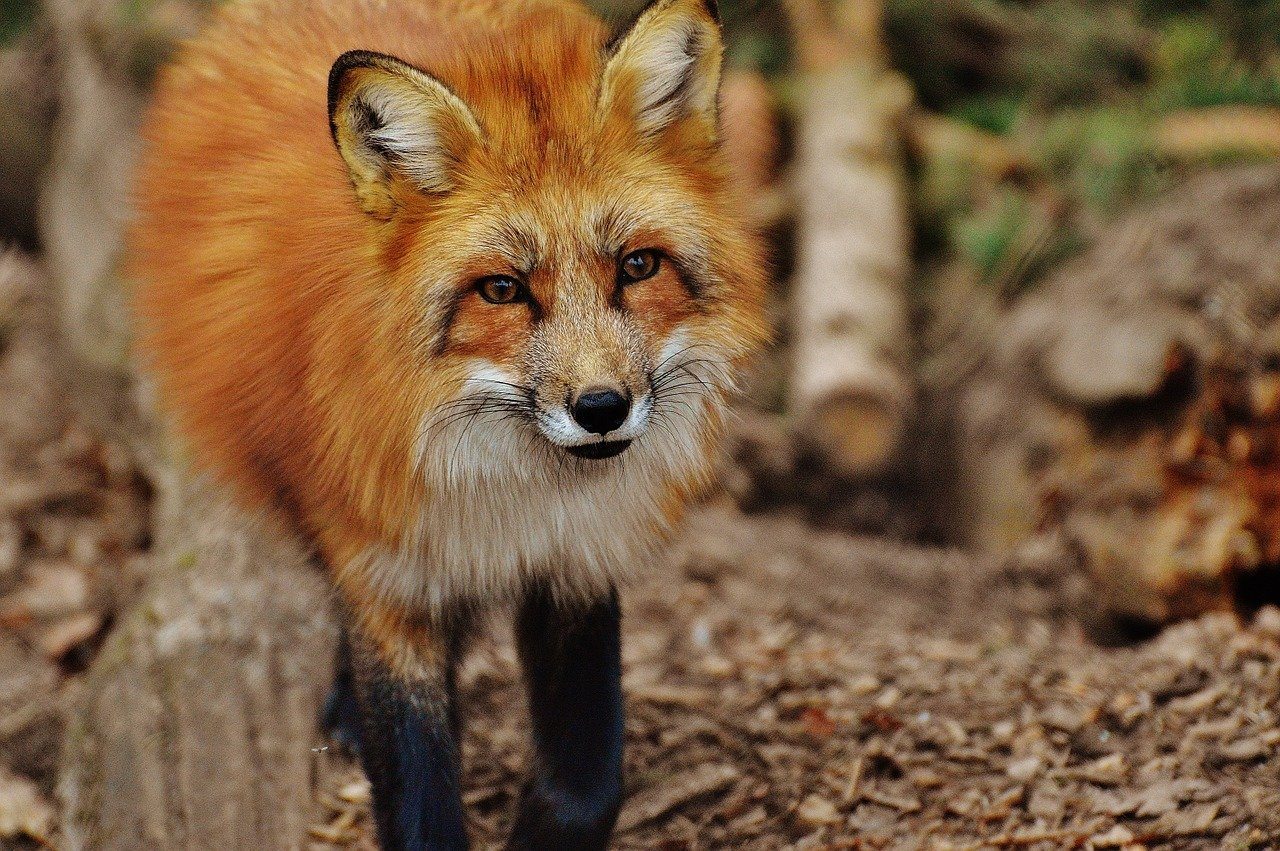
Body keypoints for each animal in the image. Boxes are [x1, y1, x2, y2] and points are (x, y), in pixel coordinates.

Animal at [129, 0, 769, 847]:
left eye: (637, 266)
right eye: (502, 289)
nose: (601, 408)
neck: (513, 489)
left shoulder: (577, 561)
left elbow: (588, 782)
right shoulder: (388, 574)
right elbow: (416, 784)